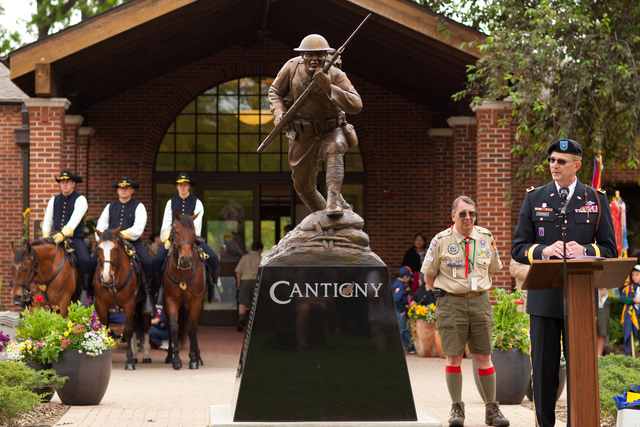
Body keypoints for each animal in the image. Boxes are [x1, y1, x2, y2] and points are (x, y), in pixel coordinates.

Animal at [94, 227, 150, 372]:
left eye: (116, 249)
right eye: (98, 248)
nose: (106, 277)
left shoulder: (129, 304)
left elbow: (128, 331)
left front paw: (129, 361)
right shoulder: (102, 305)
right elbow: (104, 329)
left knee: (146, 326)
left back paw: (146, 355)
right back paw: (135, 355)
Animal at [164, 211, 206, 372]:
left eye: (194, 233)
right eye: (176, 232)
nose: (186, 259)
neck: (183, 273)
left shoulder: (196, 301)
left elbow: (192, 329)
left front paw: (193, 359)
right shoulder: (170, 301)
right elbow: (174, 327)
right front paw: (176, 359)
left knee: (194, 327)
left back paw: (198, 357)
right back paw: (169, 356)